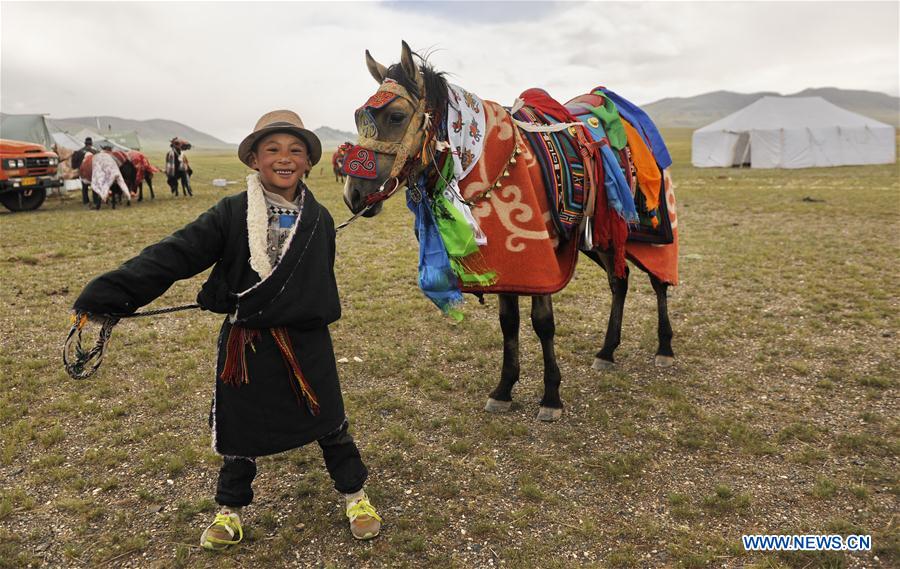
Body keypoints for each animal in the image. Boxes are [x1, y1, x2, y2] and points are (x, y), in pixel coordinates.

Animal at [343, 41, 677, 421]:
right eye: (359, 117)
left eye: (396, 117)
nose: (353, 194)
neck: (482, 156)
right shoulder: (509, 264)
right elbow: (509, 322)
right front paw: (504, 389)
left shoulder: (540, 256)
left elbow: (542, 322)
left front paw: (551, 397)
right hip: (603, 237)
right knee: (619, 281)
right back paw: (607, 351)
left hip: (648, 232)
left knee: (659, 279)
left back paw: (664, 347)